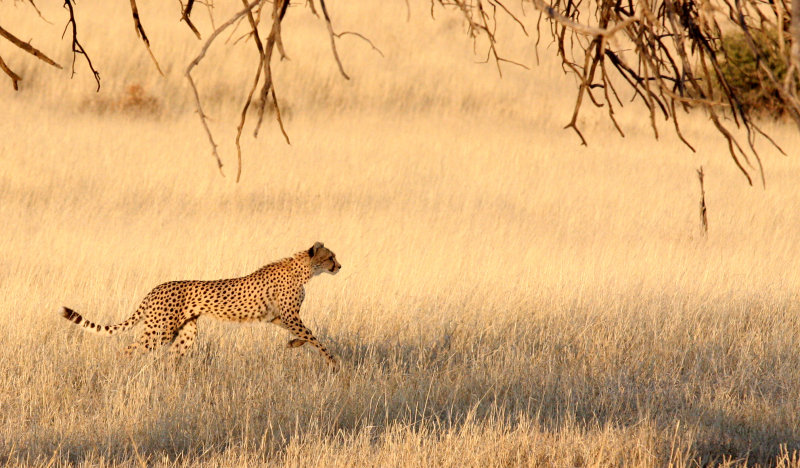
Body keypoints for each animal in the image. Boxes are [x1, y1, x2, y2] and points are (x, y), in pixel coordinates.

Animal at [59, 243, 340, 368]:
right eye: (331, 257)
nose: (340, 266)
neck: (304, 269)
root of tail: (156, 288)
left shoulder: (279, 317)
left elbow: (305, 335)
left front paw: (294, 344)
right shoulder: (290, 316)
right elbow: (314, 337)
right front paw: (334, 362)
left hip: (186, 332)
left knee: (170, 357)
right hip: (159, 332)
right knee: (128, 349)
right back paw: (120, 368)